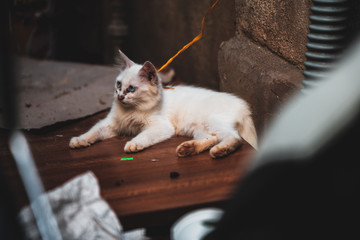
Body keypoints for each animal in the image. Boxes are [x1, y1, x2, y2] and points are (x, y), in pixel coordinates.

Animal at [69, 50, 256, 158]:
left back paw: (219, 151)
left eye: (131, 89)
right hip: (200, 129)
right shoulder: (111, 124)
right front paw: (79, 140)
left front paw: (133, 144)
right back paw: (188, 149)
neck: (131, 110)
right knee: (212, 138)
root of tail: (243, 105)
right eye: (119, 85)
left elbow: (143, 136)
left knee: (235, 138)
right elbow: (93, 132)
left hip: (212, 122)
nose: (120, 96)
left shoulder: (160, 127)